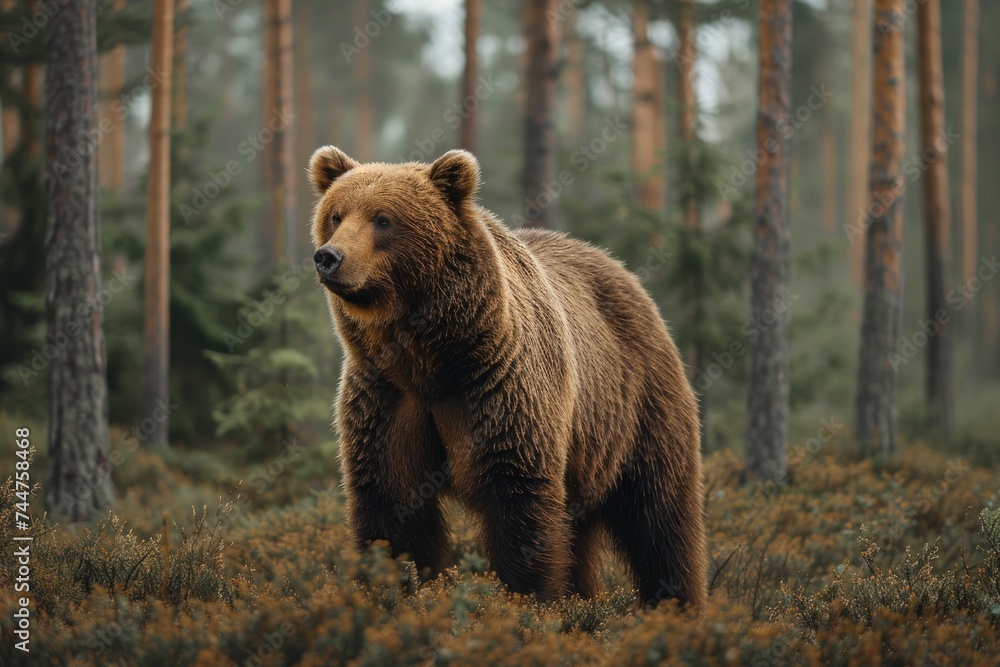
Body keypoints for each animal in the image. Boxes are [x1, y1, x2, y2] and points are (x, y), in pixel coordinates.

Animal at [309, 145, 707, 608]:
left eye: (383, 218)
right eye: (336, 215)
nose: (329, 257)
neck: (430, 358)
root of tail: (621, 269)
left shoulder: (499, 387)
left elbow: (518, 498)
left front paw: (526, 600)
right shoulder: (387, 396)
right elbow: (390, 505)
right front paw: (392, 587)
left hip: (639, 403)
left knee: (660, 513)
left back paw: (676, 603)